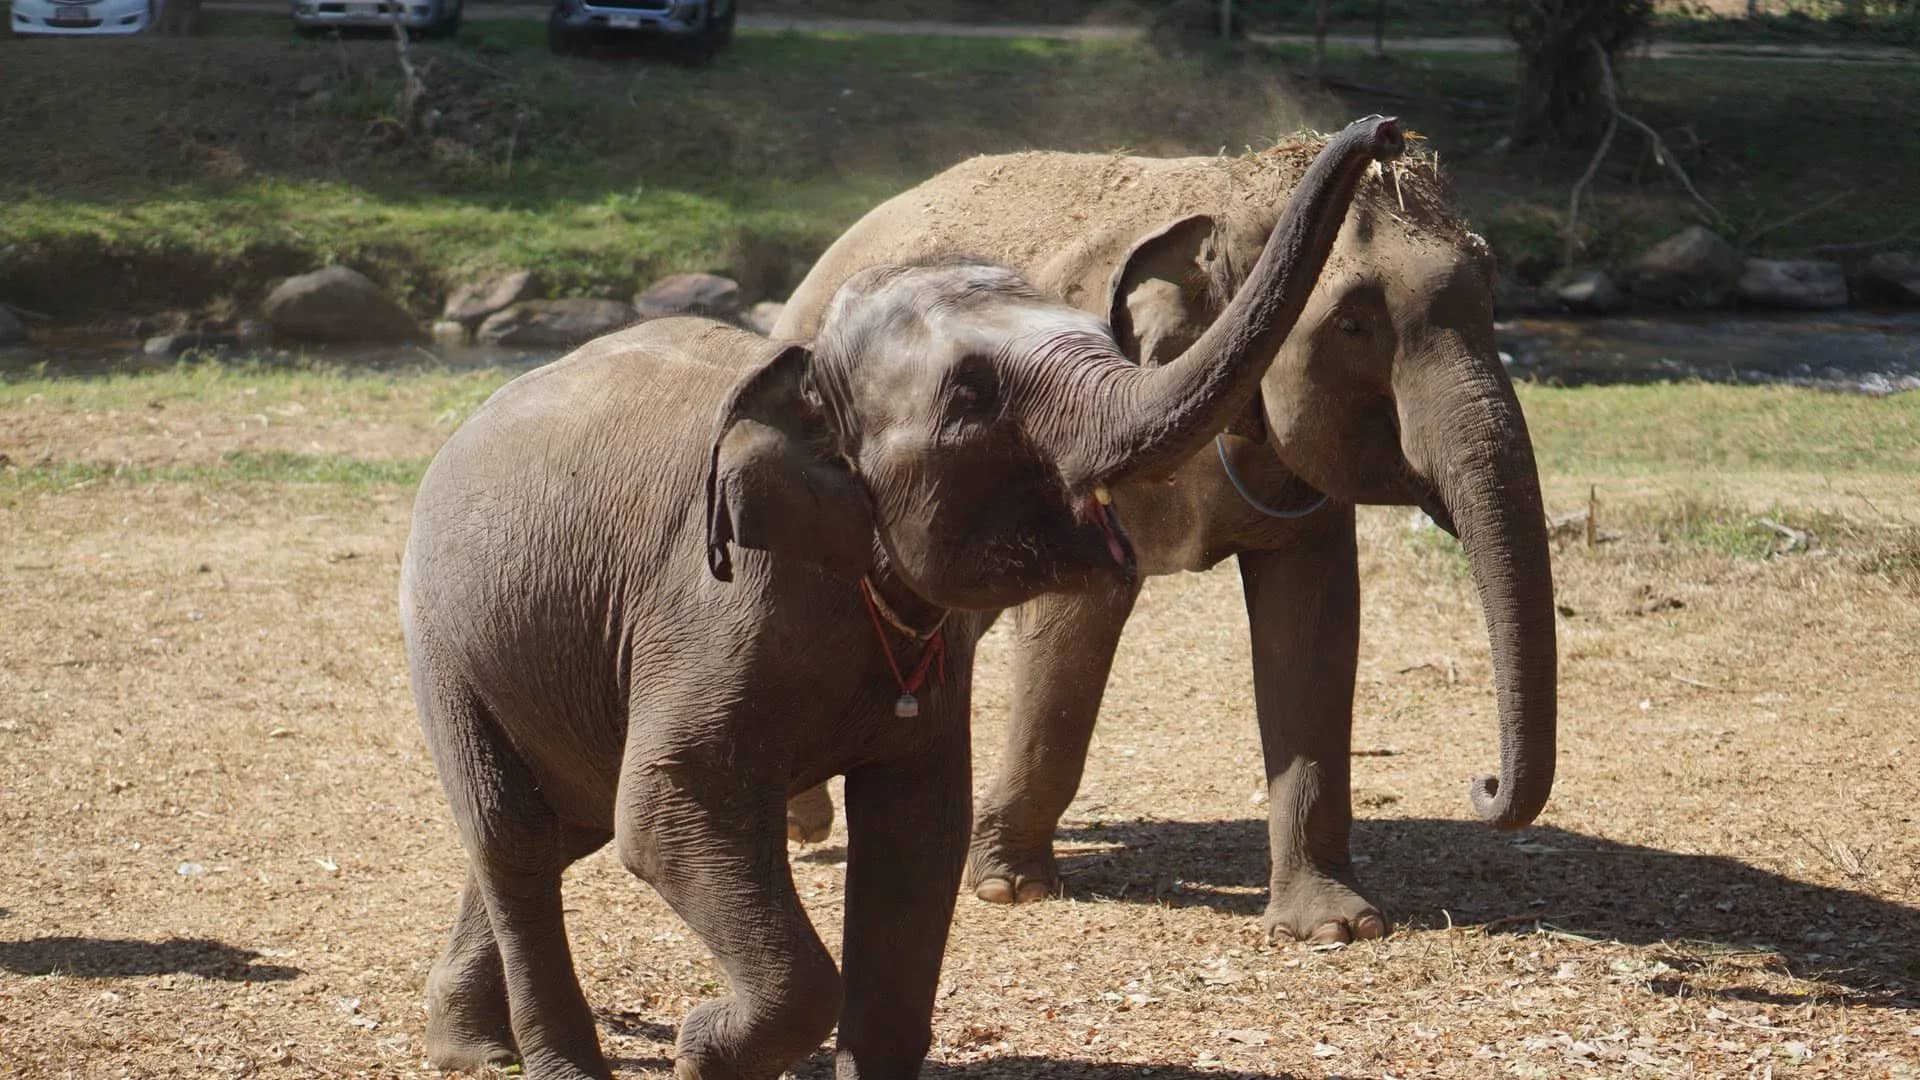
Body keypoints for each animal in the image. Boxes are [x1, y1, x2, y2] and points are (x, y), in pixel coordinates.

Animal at [398, 116, 1405, 1080]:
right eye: (973, 395)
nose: (1388, 133)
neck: (799, 367)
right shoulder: (706, 611)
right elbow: (666, 810)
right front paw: (700, 1047)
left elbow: (918, 834)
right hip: (441, 641)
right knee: (517, 837)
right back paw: (548, 1062)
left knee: (559, 825)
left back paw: (471, 1049)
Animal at [774, 125, 1556, 946]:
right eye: (1353, 325)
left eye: (1494, 300)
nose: (1484, 781)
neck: (1228, 196)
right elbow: (1078, 620)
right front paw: (1010, 889)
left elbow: (1314, 623)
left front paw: (1335, 926)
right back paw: (806, 823)